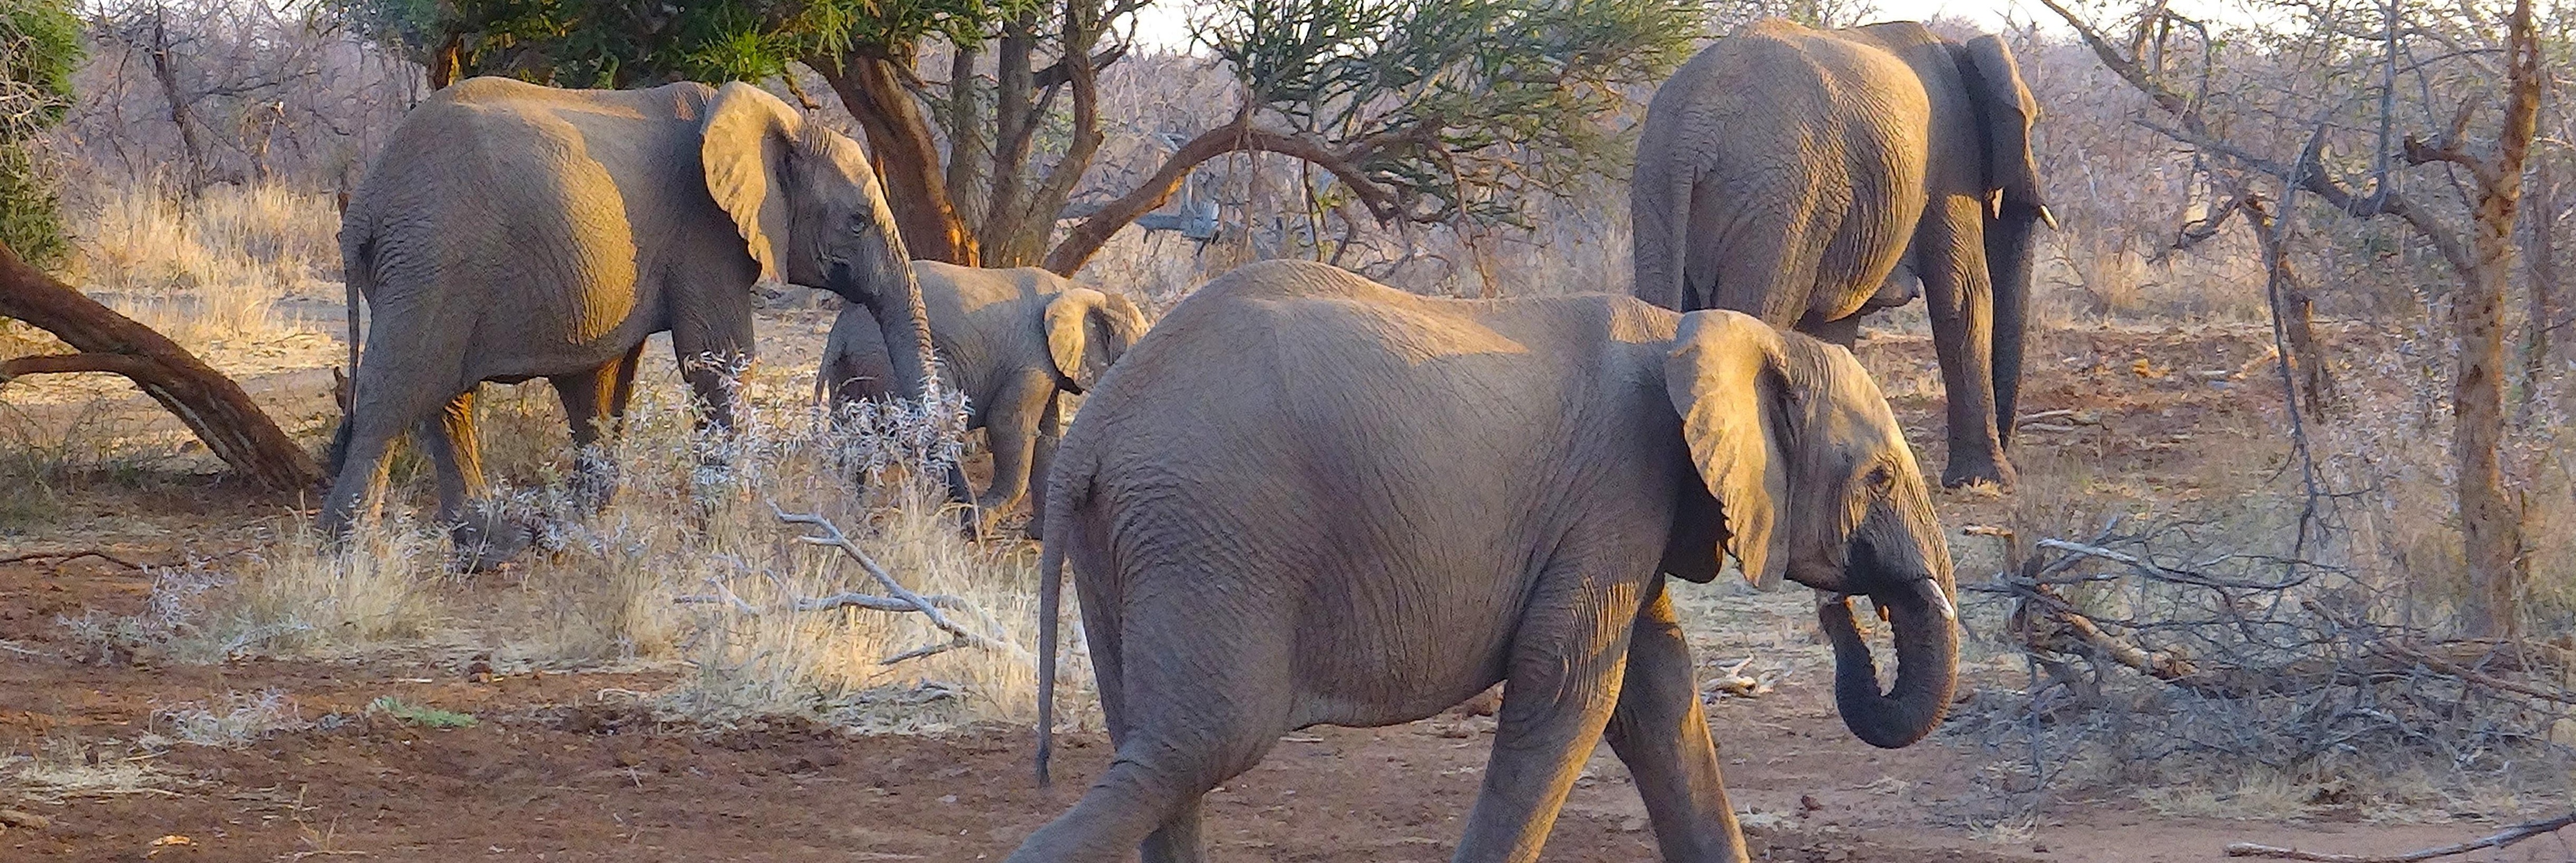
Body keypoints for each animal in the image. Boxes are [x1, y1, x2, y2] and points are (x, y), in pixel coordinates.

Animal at [321, 76, 946, 565]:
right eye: (858, 222)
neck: (781, 121)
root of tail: (365, 206)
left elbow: (602, 382)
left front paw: (574, 530)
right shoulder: (705, 233)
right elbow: (720, 363)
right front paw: (725, 537)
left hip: (427, 267)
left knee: (446, 398)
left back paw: (493, 551)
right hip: (431, 259)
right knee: (398, 394)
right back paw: (351, 558)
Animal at [817, 260, 1148, 534]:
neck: (1082, 290)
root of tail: (841, 329)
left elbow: (1047, 437)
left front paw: (1037, 535)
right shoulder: (1033, 357)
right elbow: (1011, 426)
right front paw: (981, 525)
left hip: (850, 370)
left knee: (853, 437)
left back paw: (854, 520)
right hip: (891, 361)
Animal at [1013, 260, 1960, 863]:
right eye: (1878, 477)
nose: (1846, 611)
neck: (1703, 334)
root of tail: (1096, 428)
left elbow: (1656, 696)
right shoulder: (1617, 481)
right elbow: (1572, 688)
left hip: (1135, 538)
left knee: (1153, 749)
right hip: (1213, 529)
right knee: (1195, 745)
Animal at [1631, 19, 2054, 488]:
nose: (2010, 451)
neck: (1959, 50)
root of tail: (1692, 128)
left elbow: (1832, 330)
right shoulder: (1952, 158)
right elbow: (1963, 295)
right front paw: (1989, 482)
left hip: (1658, 188)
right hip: (1780, 203)